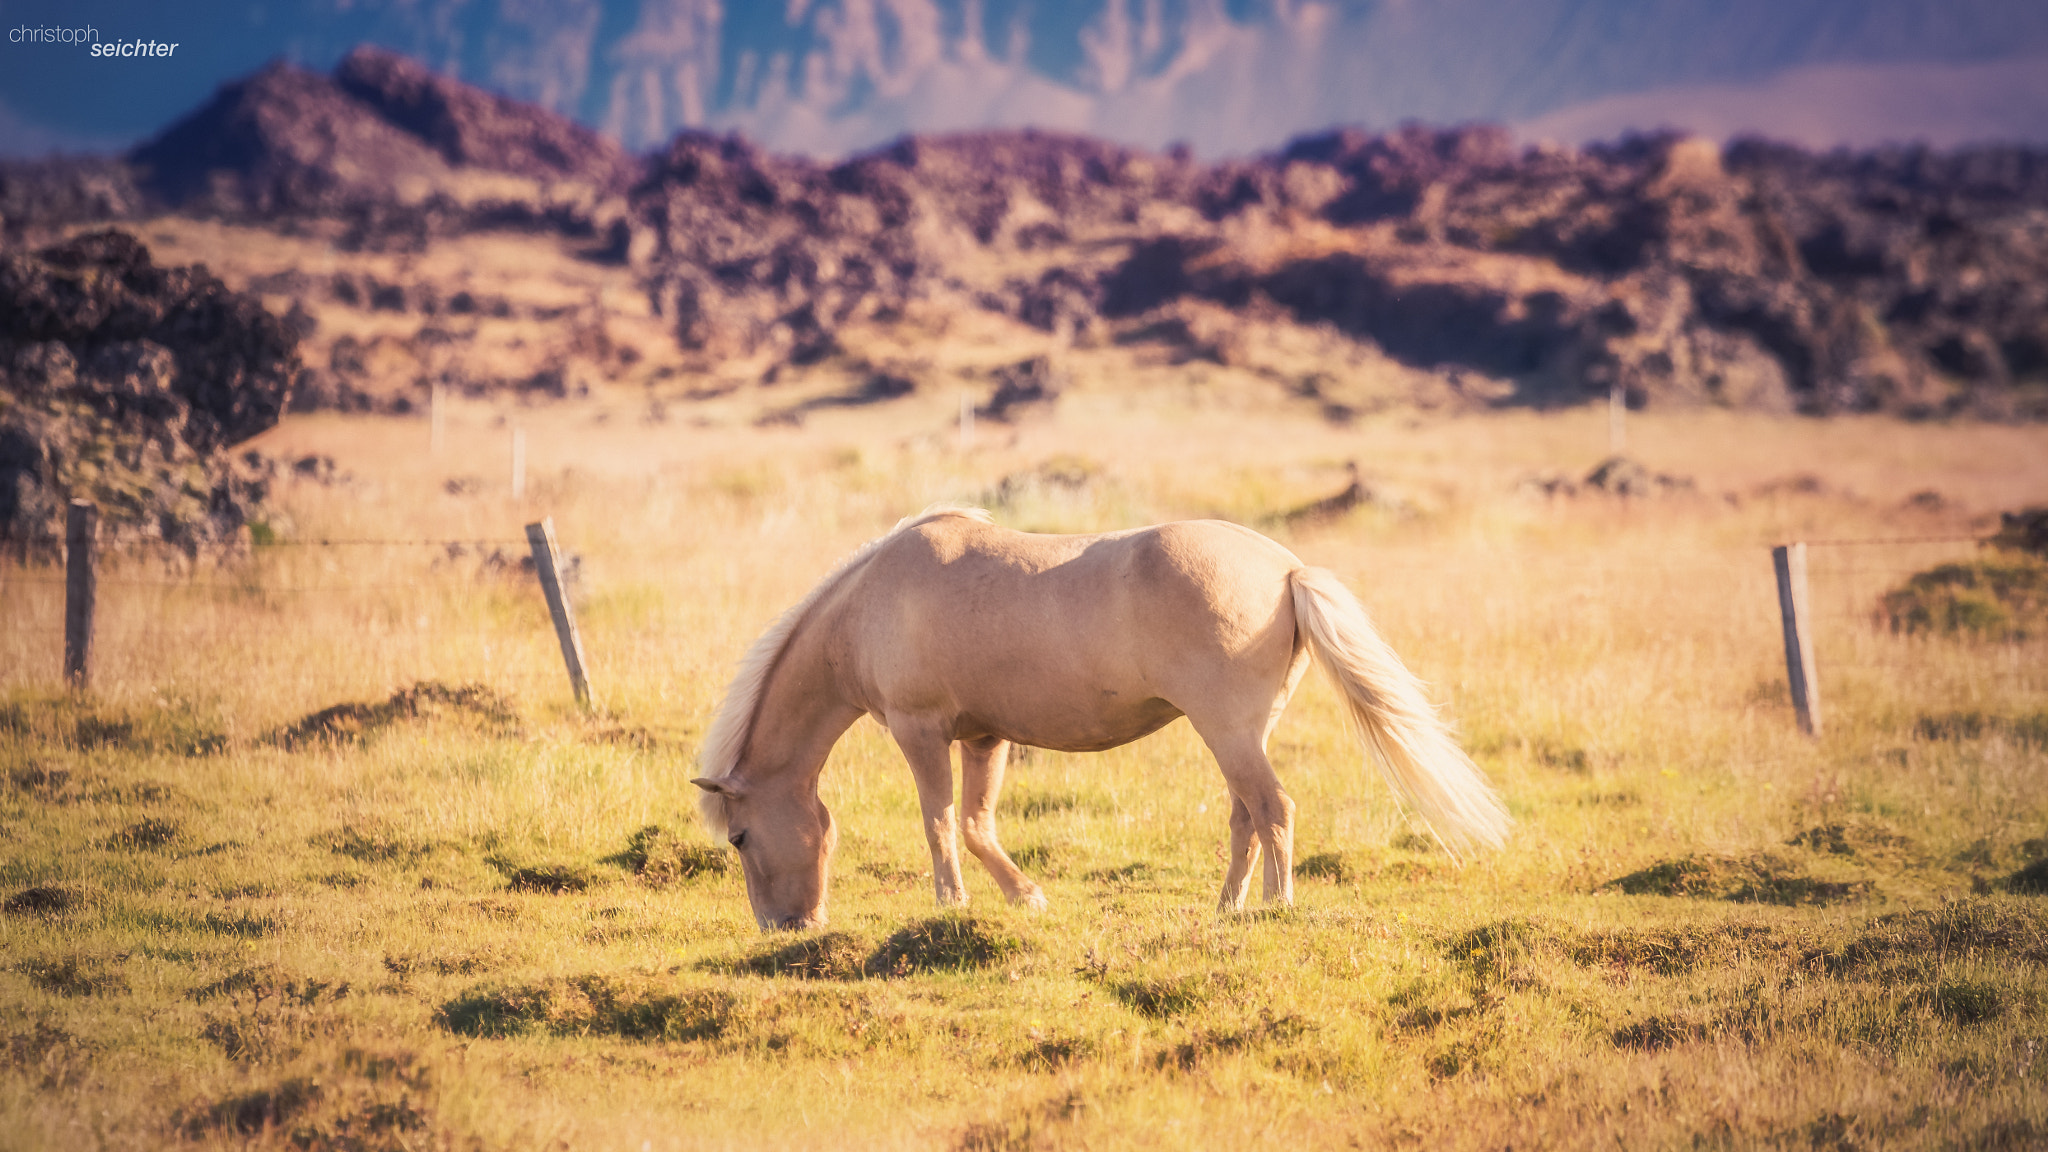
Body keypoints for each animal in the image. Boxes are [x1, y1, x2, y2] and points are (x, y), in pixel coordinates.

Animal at [696, 506, 1515, 926]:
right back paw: (1226, 909)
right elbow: (977, 823)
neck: (870, 605)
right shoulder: (984, 737)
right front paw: (1025, 897)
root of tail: (1288, 570)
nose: (784, 929)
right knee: (1247, 816)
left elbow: (939, 823)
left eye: (739, 837)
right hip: (1238, 736)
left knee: (1273, 809)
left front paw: (952, 903)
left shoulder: (920, 731)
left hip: (1228, 732)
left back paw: (1274, 907)